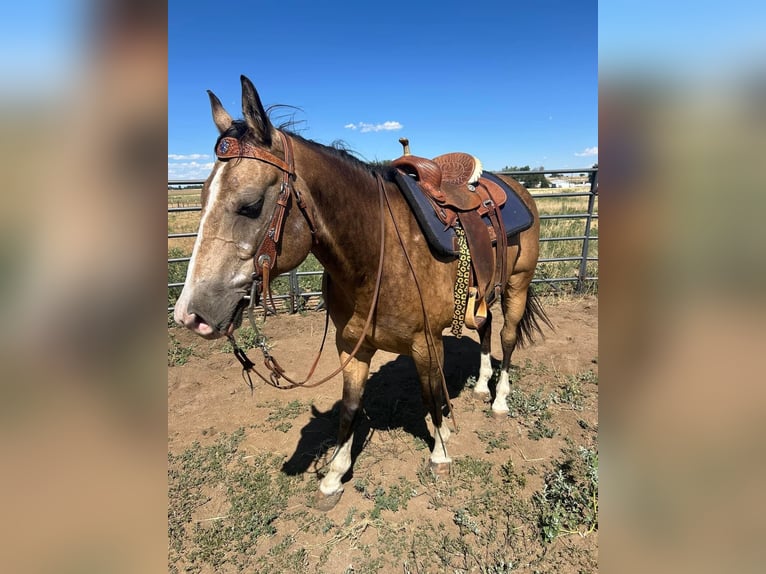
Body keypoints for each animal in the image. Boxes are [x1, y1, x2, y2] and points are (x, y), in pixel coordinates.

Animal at [174, 76, 552, 512]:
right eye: (201, 198)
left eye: (250, 206)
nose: (190, 314)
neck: (375, 256)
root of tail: (512, 186)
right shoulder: (352, 344)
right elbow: (351, 408)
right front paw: (333, 477)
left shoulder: (426, 343)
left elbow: (430, 396)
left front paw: (440, 452)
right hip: (485, 291)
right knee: (486, 327)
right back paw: (480, 385)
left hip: (517, 285)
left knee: (507, 336)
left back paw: (500, 398)